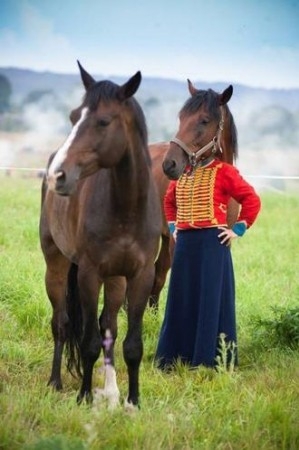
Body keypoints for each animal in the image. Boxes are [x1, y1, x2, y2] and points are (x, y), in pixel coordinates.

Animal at [39, 62, 163, 408]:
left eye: (104, 121)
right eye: (73, 116)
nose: (57, 175)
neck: (126, 208)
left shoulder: (140, 276)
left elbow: (130, 344)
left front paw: (132, 401)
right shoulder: (89, 274)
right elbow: (89, 342)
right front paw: (84, 397)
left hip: (116, 279)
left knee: (109, 326)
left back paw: (111, 391)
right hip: (56, 265)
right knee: (62, 323)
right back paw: (55, 381)